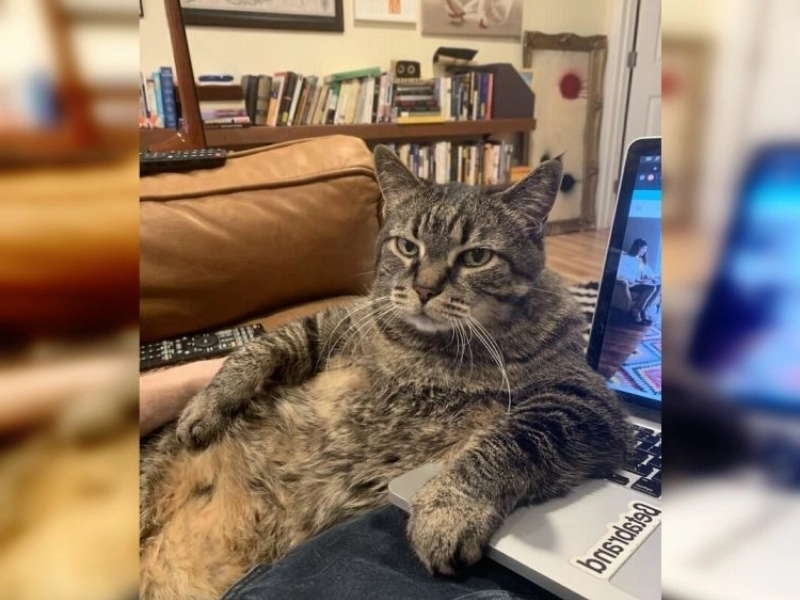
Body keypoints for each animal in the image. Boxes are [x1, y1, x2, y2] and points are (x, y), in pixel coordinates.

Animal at [139, 146, 631, 600]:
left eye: (476, 257)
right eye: (407, 246)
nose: (425, 288)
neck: (434, 349)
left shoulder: (582, 398)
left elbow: (509, 441)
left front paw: (448, 508)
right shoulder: (339, 322)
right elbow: (263, 344)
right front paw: (209, 402)